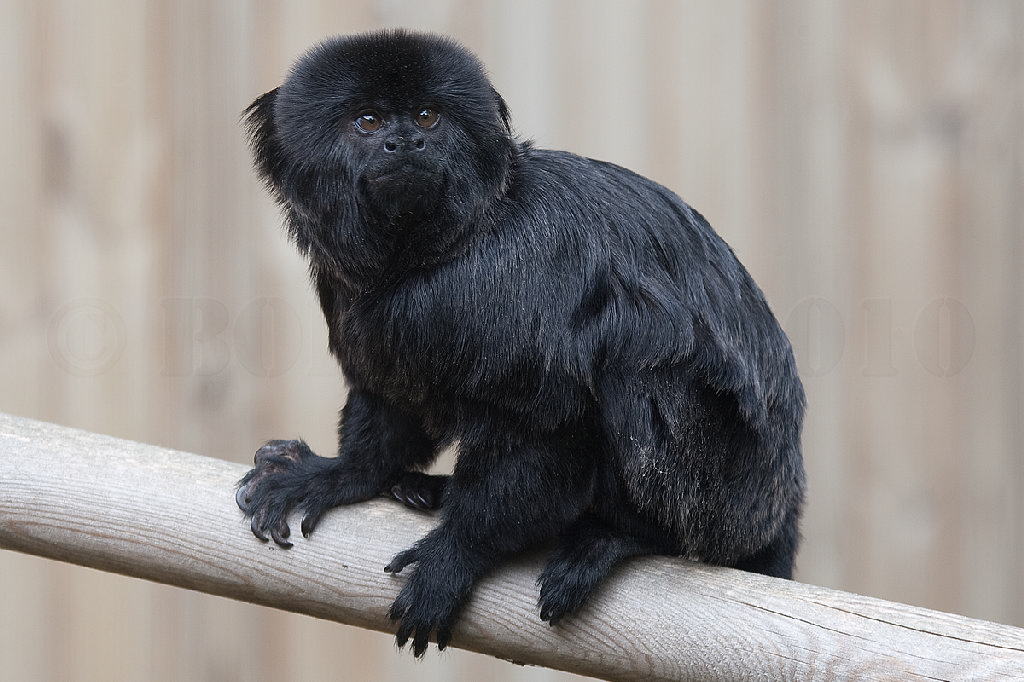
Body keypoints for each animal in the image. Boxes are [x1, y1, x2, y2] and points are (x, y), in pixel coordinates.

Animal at [235, 29, 806, 657]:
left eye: (427, 117)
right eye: (368, 121)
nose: (405, 142)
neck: (445, 249)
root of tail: (782, 501)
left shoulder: (518, 279)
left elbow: (546, 421)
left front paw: (455, 555)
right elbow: (391, 393)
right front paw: (342, 473)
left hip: (725, 499)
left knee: (638, 355)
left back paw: (620, 536)